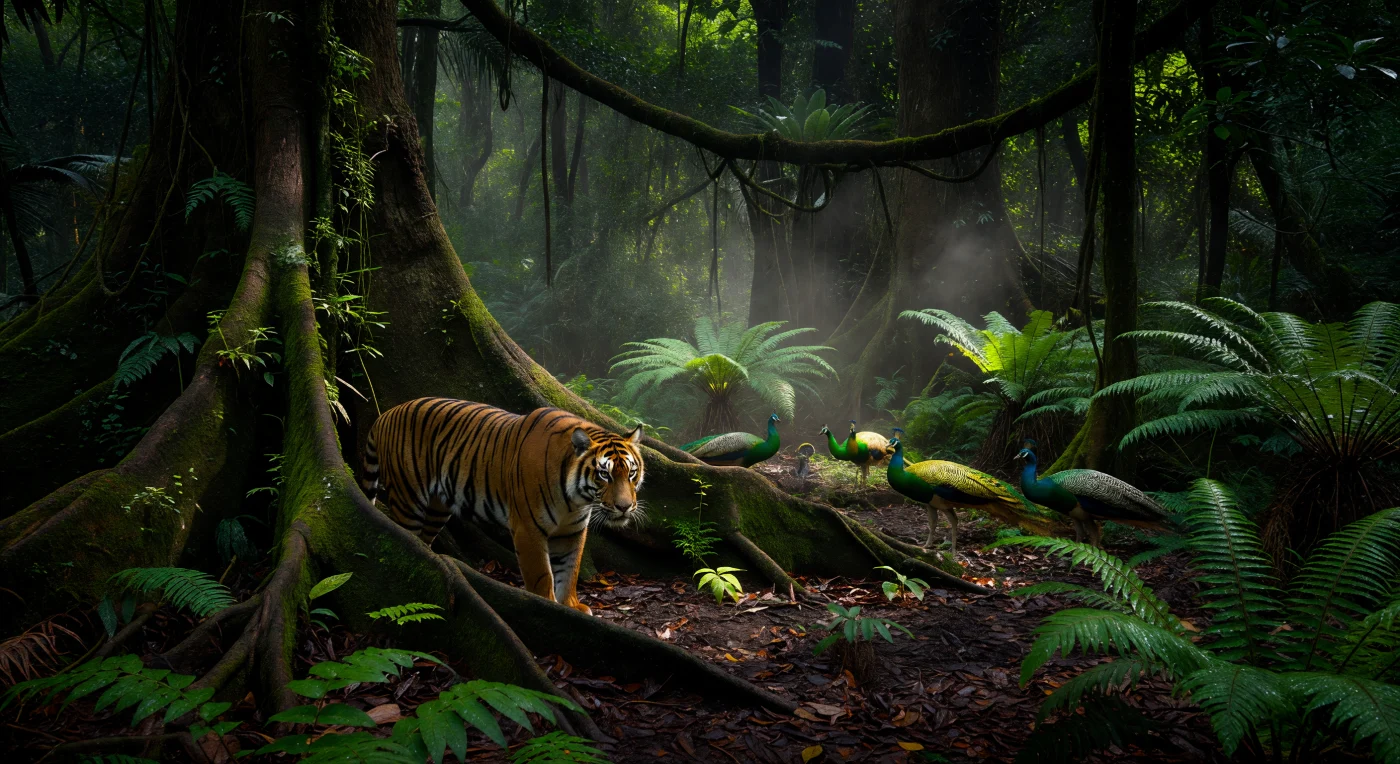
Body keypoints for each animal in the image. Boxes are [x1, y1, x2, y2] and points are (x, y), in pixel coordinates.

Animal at [360, 398, 645, 615]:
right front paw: (548, 605)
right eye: (604, 475)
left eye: (631, 473)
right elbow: (542, 574)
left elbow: (570, 571)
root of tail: (385, 414)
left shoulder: (572, 531)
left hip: (437, 508)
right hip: (408, 500)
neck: (575, 500)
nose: (624, 507)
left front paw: (571, 607)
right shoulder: (528, 528)